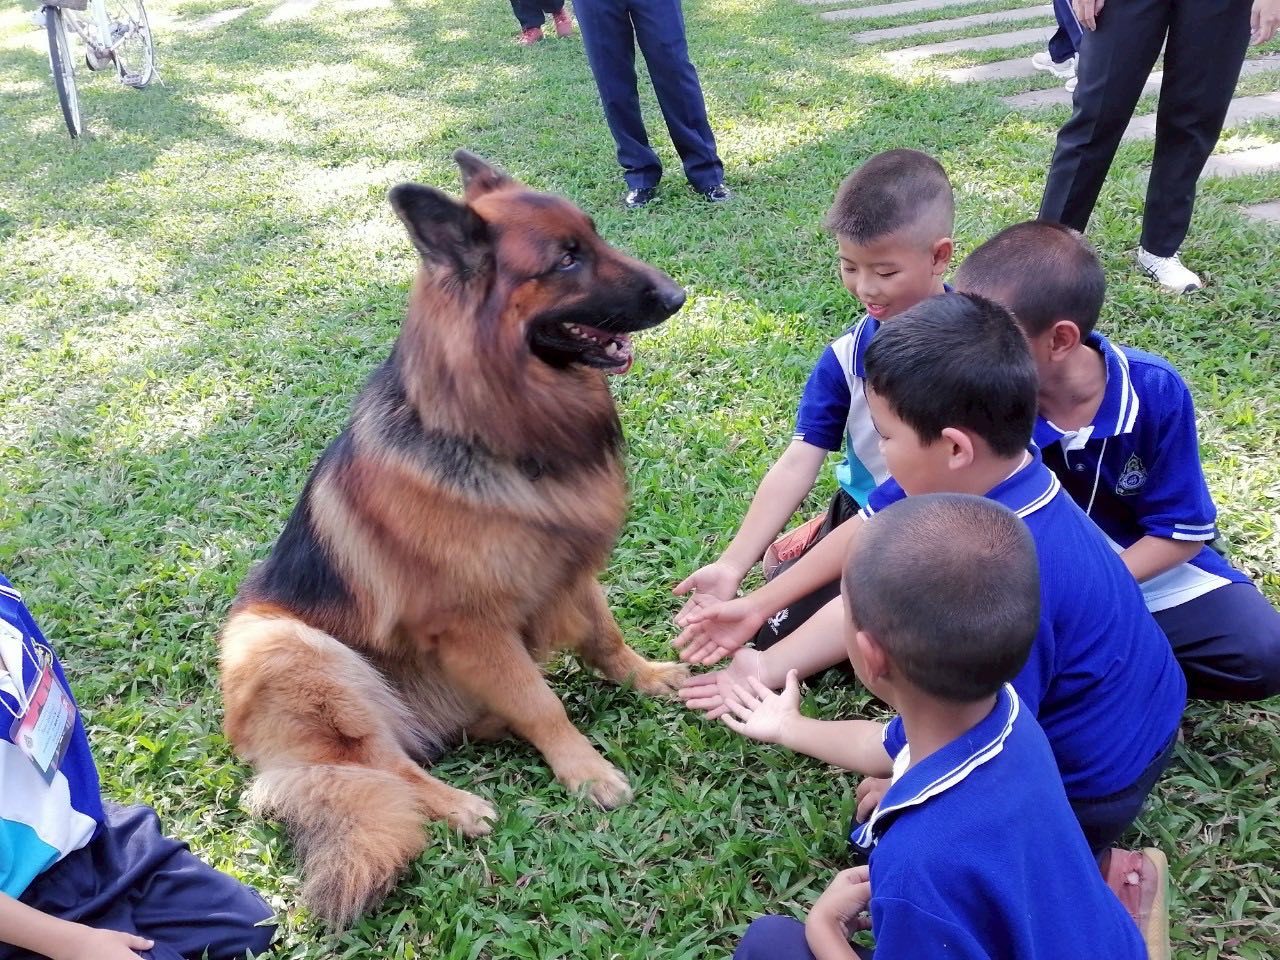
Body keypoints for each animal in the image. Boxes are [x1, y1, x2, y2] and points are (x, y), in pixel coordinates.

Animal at [219, 151, 690, 925]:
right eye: (566, 259)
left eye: (593, 234)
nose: (677, 295)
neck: (497, 423)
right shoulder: (473, 628)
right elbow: (542, 701)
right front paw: (585, 770)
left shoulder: (566, 568)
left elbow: (604, 636)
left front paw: (646, 676)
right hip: (294, 649)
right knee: (385, 764)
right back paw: (458, 803)